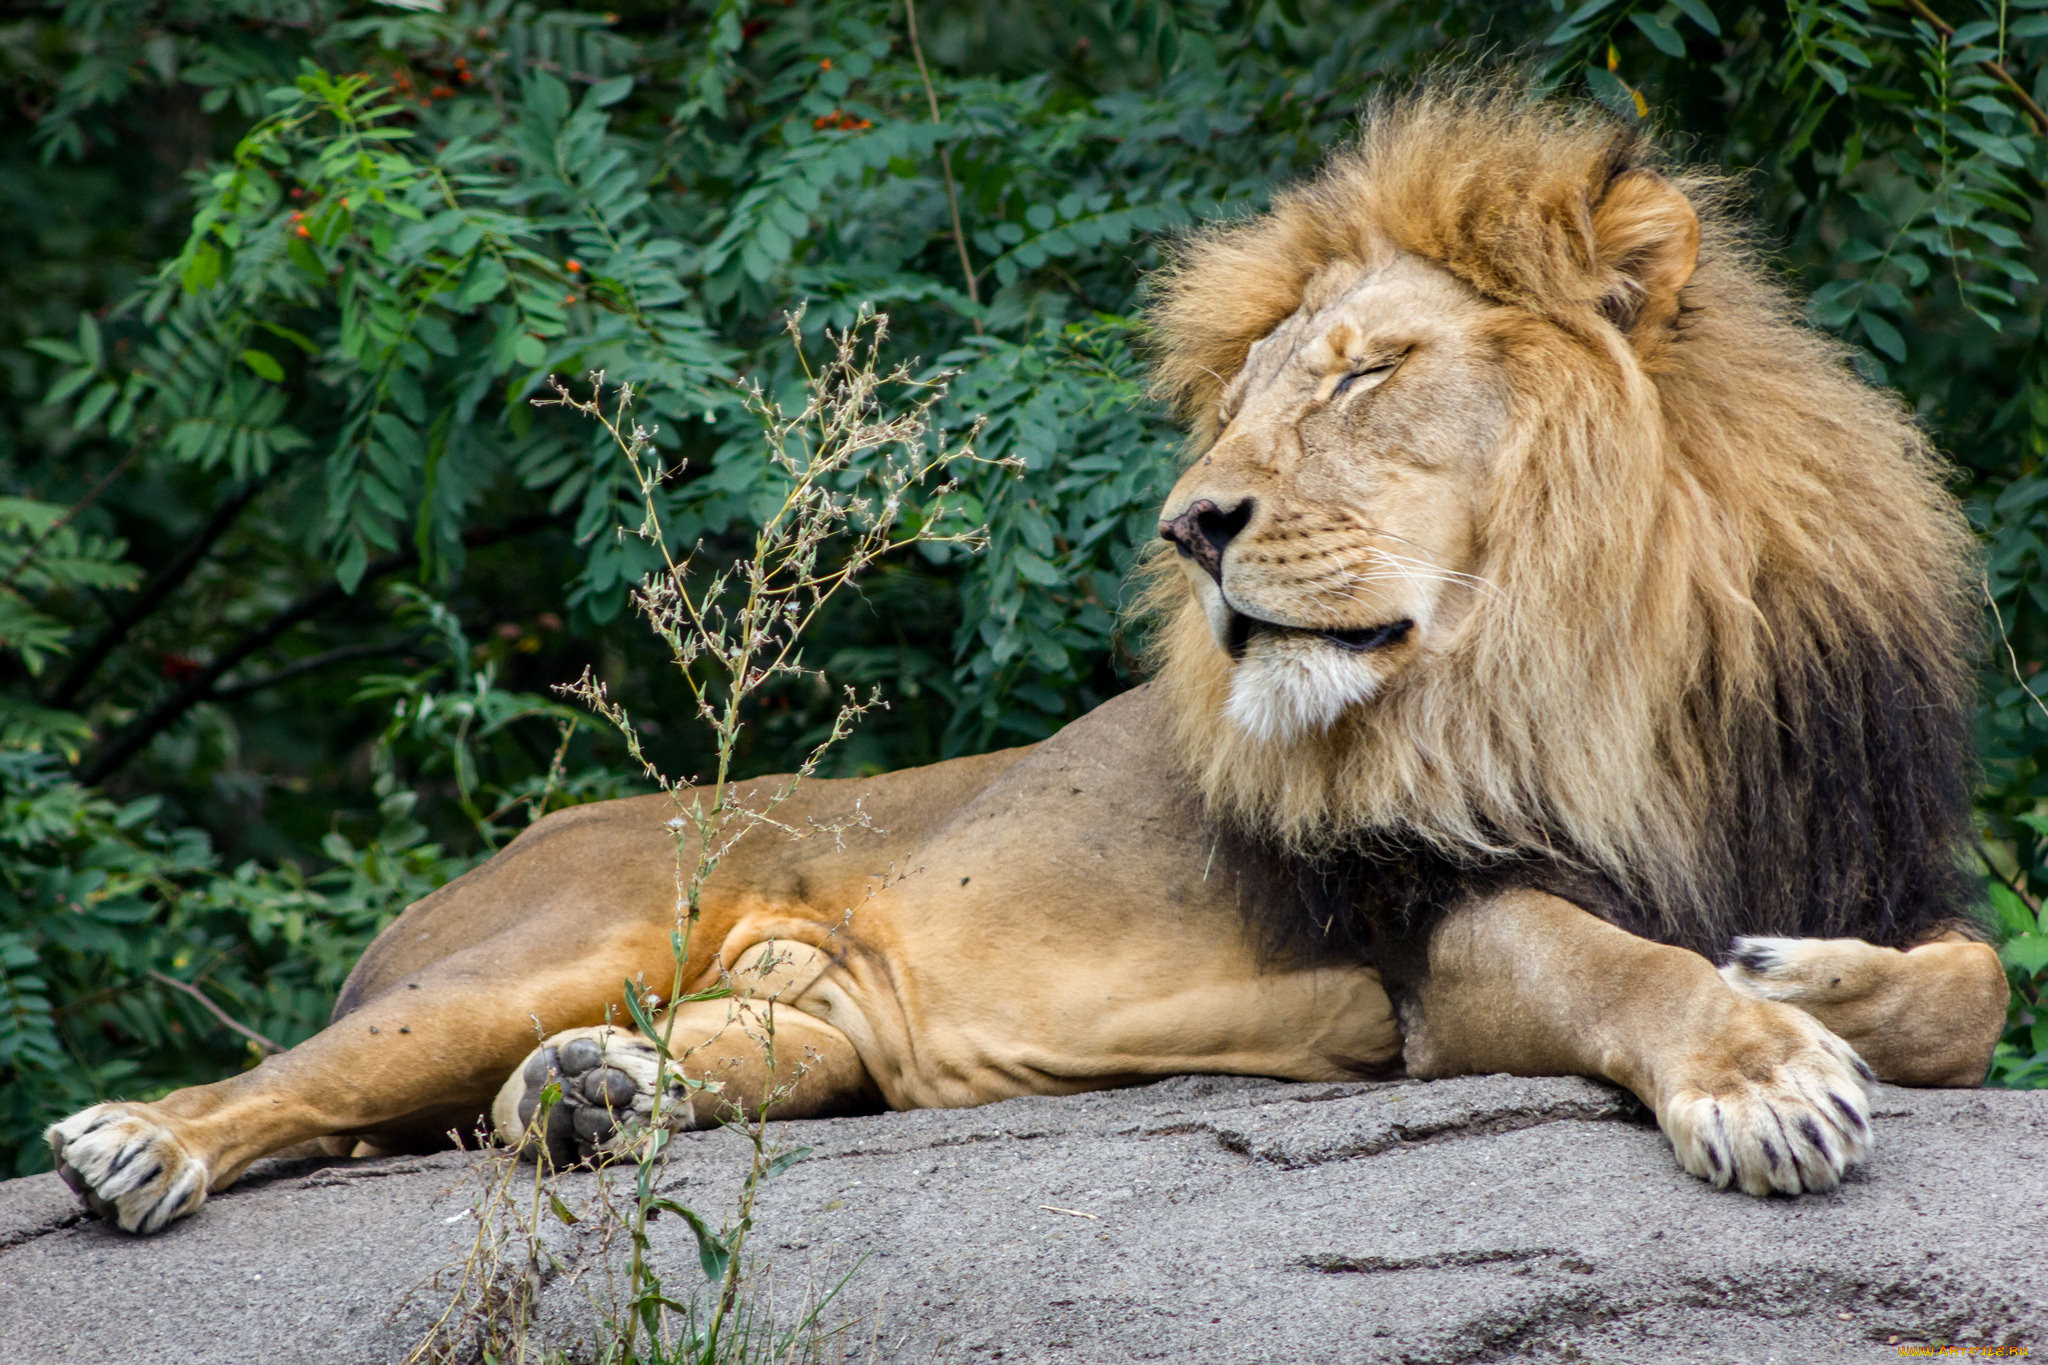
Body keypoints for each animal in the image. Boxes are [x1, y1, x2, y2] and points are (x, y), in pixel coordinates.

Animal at [44, 87, 1998, 1236]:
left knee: (651, 1076)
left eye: (1363, 374)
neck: (1597, 661)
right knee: (304, 1079)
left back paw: (593, 1097)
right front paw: (1761, 1075)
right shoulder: (1428, 941)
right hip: (560, 934)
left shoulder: (1865, 846)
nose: (1190, 524)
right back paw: (144, 1143)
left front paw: (1807, 979)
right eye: (1246, 395)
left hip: (803, 1029)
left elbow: (1966, 987)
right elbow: (1618, 963)